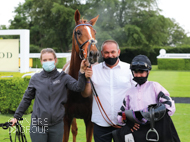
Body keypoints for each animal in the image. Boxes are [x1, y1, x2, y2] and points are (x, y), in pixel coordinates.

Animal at [62, 9, 98, 141]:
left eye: (94, 32)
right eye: (78, 32)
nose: (93, 54)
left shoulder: (90, 120)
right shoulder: (66, 118)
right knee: (75, 130)